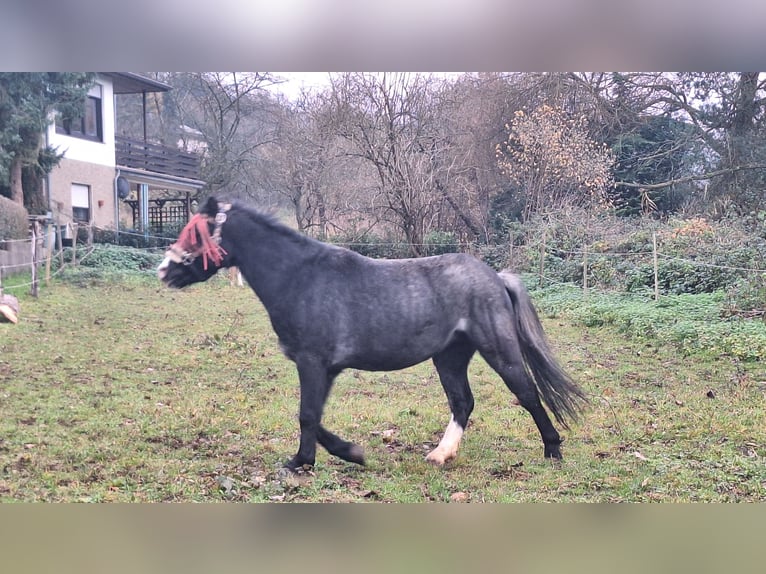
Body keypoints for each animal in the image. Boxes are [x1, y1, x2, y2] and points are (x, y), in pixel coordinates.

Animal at [158, 196, 587, 472]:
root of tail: (495, 277)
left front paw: (303, 462)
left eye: (196, 235)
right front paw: (347, 452)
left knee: (526, 393)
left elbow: (307, 414)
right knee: (463, 402)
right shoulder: (324, 367)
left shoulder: (312, 362)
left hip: (497, 350)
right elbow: (314, 416)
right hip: (449, 357)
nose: (164, 271)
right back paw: (440, 455)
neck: (301, 277)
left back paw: (552, 451)